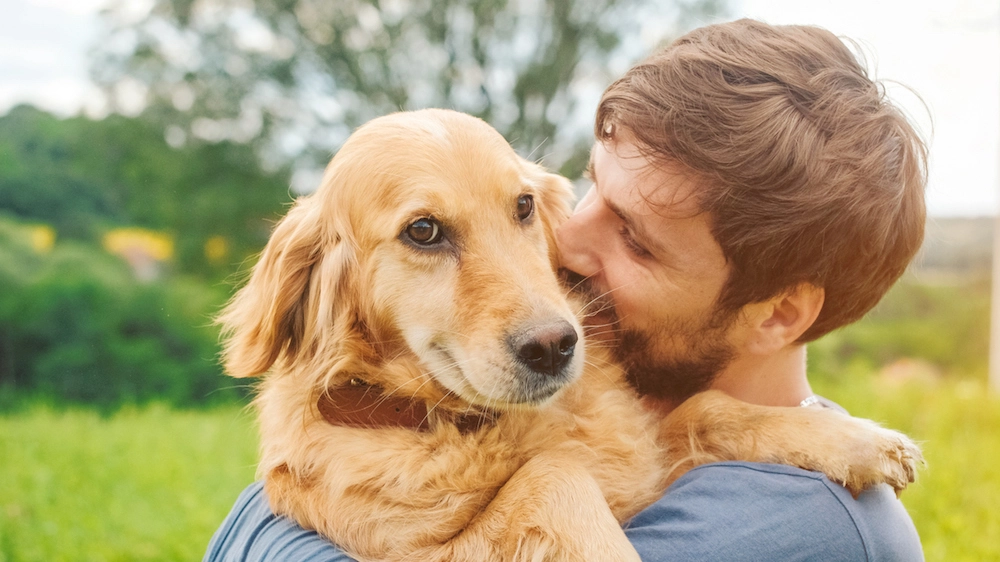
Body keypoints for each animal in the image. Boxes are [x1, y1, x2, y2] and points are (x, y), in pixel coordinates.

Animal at [219, 106, 920, 560]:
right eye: (423, 231)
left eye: (524, 206)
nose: (554, 347)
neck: (461, 423)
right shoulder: (432, 554)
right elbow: (554, 476)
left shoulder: (648, 458)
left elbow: (707, 406)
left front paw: (855, 440)